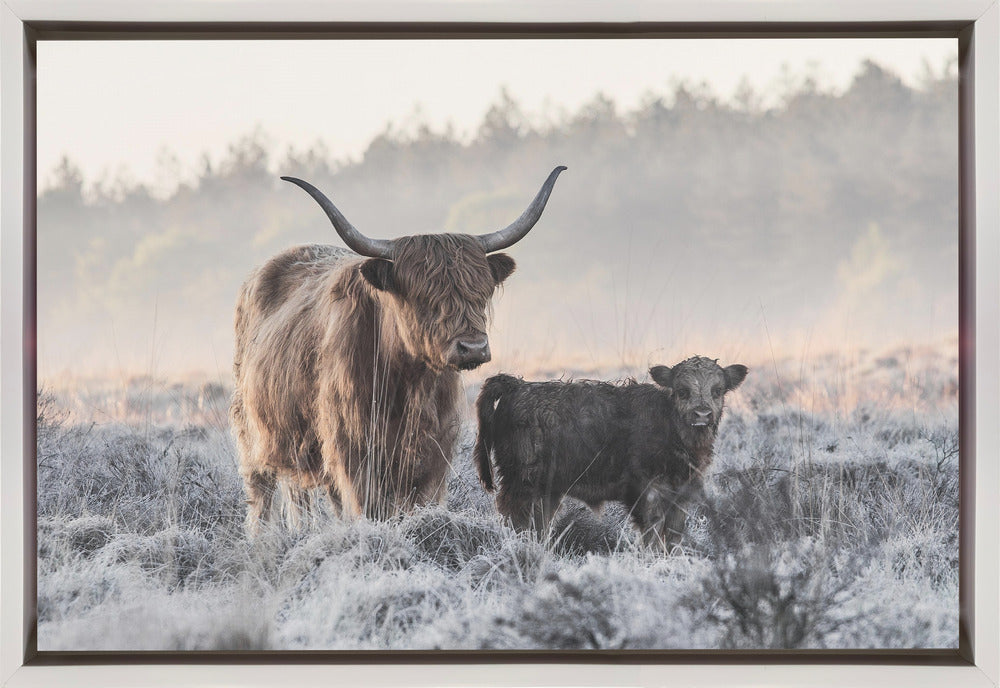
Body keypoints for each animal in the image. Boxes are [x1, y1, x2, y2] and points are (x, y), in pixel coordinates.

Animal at [231, 167, 566, 531]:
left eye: (481, 292)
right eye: (423, 297)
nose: (473, 347)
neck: (410, 383)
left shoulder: (434, 456)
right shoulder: (354, 452)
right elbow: (369, 509)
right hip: (253, 434)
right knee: (261, 496)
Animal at [473, 356, 748, 551]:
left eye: (717, 390)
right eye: (682, 390)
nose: (702, 414)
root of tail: (518, 386)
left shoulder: (681, 494)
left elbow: (674, 537)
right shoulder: (648, 492)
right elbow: (653, 534)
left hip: (547, 491)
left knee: (539, 524)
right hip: (521, 481)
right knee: (515, 519)